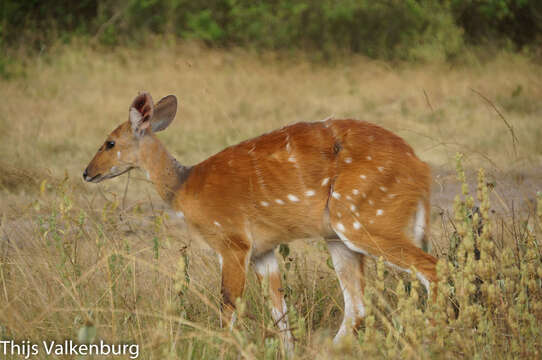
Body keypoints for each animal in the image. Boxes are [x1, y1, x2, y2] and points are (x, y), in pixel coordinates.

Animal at [86, 91, 442, 352]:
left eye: (110, 142)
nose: (87, 173)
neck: (185, 187)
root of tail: (421, 170)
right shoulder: (263, 252)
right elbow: (279, 312)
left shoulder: (232, 242)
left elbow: (229, 305)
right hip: (339, 237)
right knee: (357, 306)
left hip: (364, 222)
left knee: (431, 268)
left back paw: (429, 339)